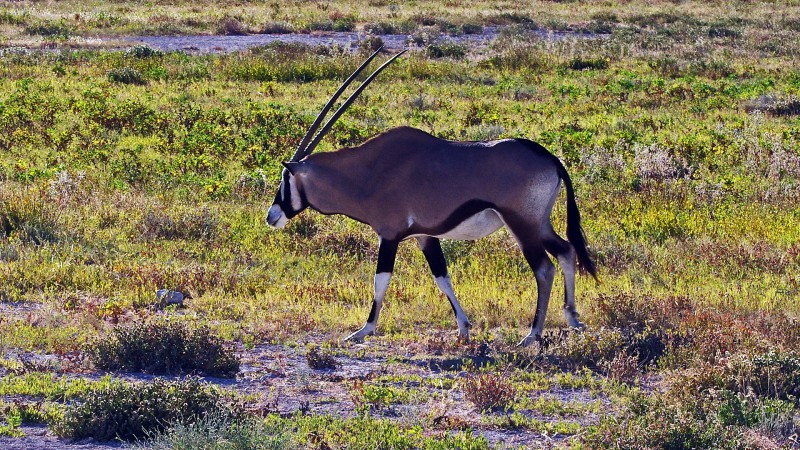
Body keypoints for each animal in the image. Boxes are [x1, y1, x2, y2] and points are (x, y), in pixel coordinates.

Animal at [266, 47, 596, 346]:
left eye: (285, 178)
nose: (271, 216)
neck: (370, 172)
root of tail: (550, 158)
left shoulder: (390, 235)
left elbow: (380, 280)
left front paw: (363, 330)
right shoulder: (424, 236)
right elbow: (442, 277)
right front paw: (464, 328)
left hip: (522, 224)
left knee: (544, 268)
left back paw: (532, 334)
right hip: (539, 223)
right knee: (566, 251)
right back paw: (573, 318)